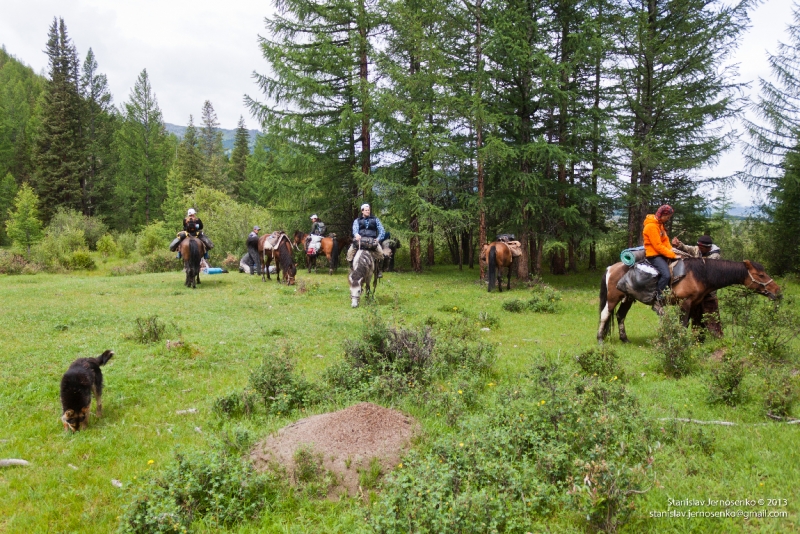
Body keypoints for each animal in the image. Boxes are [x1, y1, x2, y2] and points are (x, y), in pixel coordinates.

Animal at [600, 258, 780, 344]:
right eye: (761, 275)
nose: (777, 291)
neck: (700, 274)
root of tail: (610, 268)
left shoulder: (695, 303)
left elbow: (695, 323)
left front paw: (695, 341)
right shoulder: (685, 302)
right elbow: (683, 324)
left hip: (628, 299)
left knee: (620, 316)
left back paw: (624, 339)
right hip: (613, 298)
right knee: (605, 315)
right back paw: (600, 339)